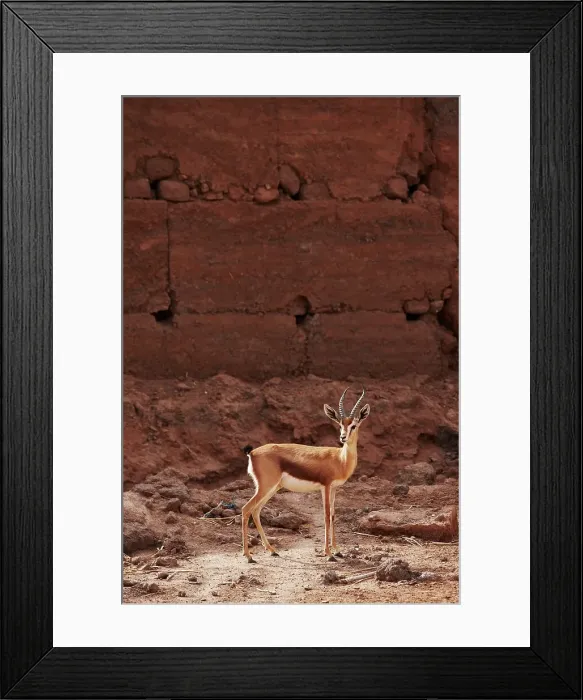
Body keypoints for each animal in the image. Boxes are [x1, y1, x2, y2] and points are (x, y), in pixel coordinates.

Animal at [241, 387, 371, 563]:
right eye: (340, 425)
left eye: (354, 425)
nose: (343, 437)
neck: (340, 459)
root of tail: (252, 453)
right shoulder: (326, 486)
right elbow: (326, 515)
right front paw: (329, 554)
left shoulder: (334, 488)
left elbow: (333, 515)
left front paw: (337, 550)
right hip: (266, 487)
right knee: (246, 509)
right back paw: (248, 556)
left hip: (272, 488)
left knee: (255, 511)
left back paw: (272, 550)